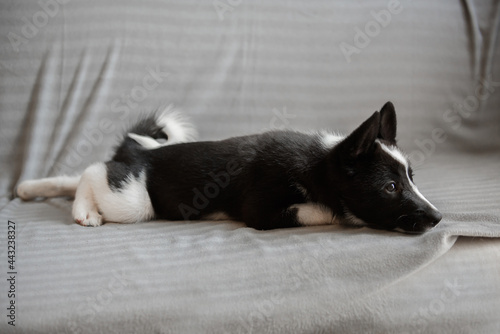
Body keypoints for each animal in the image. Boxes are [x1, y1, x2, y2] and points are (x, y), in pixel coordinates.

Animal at [17, 103, 442, 234]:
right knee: (93, 171)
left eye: (411, 179)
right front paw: (339, 212)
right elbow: (323, 210)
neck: (318, 163)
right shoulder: (260, 209)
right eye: (390, 188)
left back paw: (31, 188)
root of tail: (139, 152)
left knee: (91, 173)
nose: (439, 218)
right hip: (136, 202)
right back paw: (83, 212)